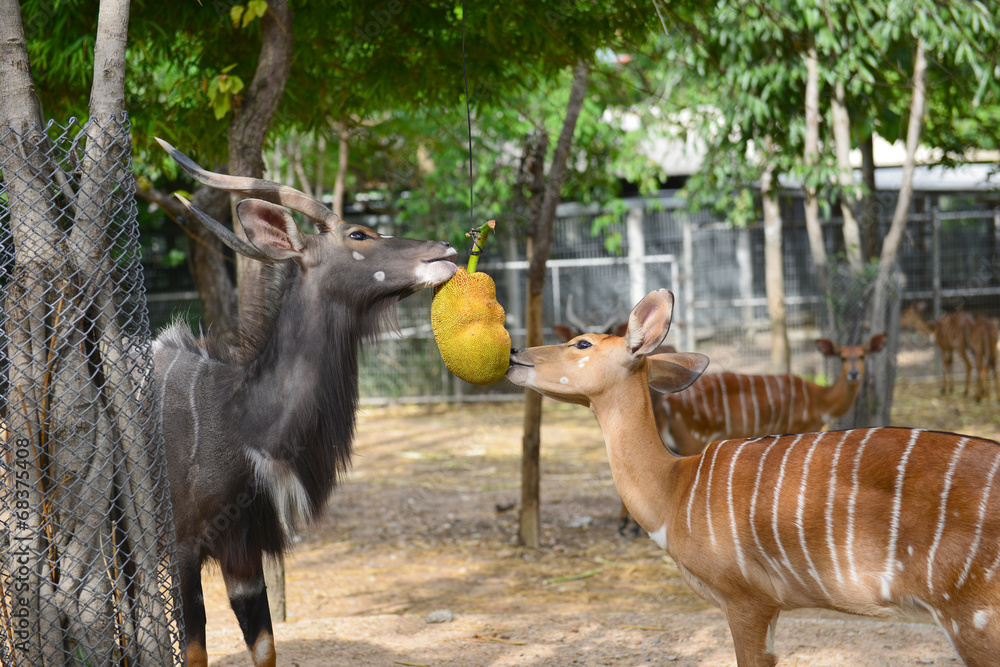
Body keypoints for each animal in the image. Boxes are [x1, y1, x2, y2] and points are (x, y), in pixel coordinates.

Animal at [151, 138, 458, 664]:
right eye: (359, 233)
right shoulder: (184, 547)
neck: (237, 415)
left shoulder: (243, 548)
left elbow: (266, 645)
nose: (445, 251)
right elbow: (194, 651)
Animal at [656, 334, 884, 460]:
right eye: (843, 357)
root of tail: (666, 403)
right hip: (693, 440)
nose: (853, 373)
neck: (818, 398)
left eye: (862, 355)